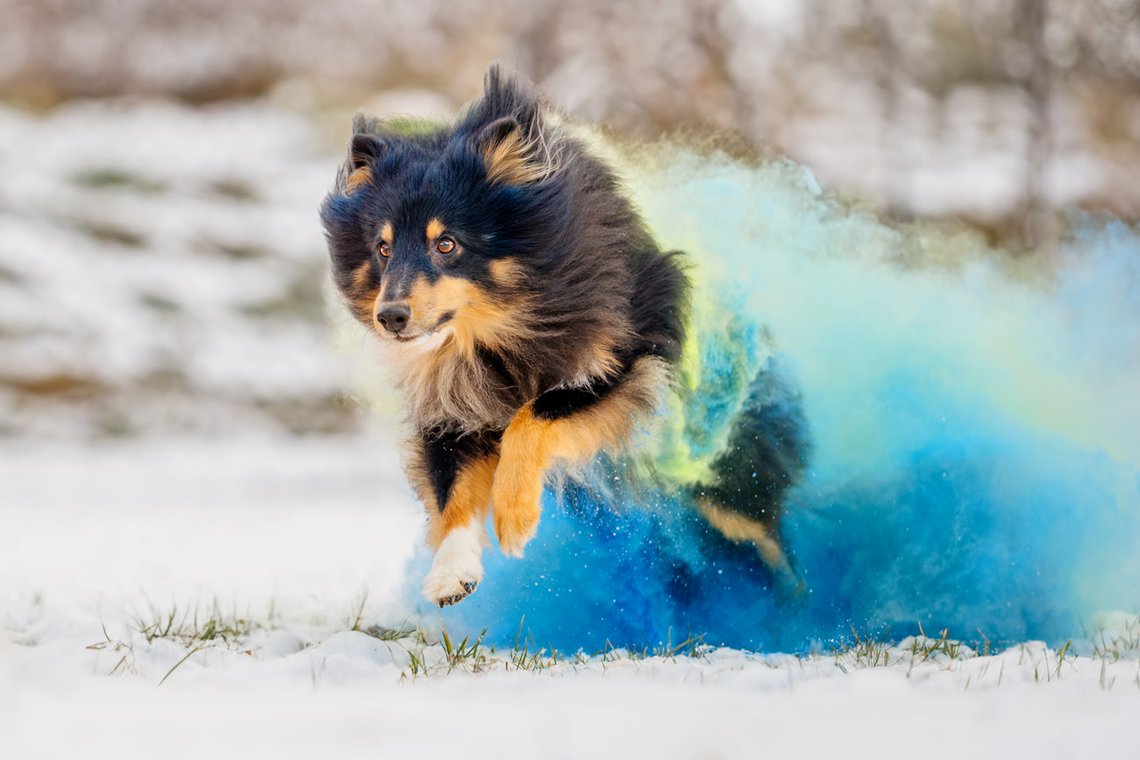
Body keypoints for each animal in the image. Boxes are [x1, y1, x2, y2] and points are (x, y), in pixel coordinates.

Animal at [316, 65, 807, 606]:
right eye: (382, 249)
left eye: (446, 244)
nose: (390, 316)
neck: (494, 333)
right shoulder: (452, 406)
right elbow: (451, 490)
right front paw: (451, 576)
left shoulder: (630, 359)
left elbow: (535, 415)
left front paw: (513, 520)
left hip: (730, 483)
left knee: (770, 540)